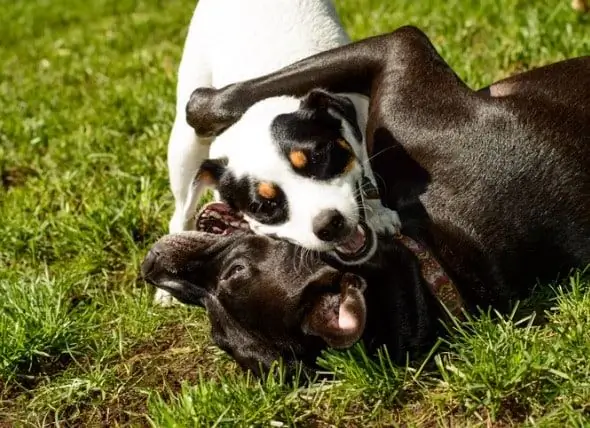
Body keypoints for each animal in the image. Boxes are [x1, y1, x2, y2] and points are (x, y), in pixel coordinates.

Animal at [143, 25, 590, 374]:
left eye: (233, 272)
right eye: (216, 331)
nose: (150, 267)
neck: (431, 259)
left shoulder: (397, 52)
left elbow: (225, 99)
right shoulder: (402, 49)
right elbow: (223, 98)